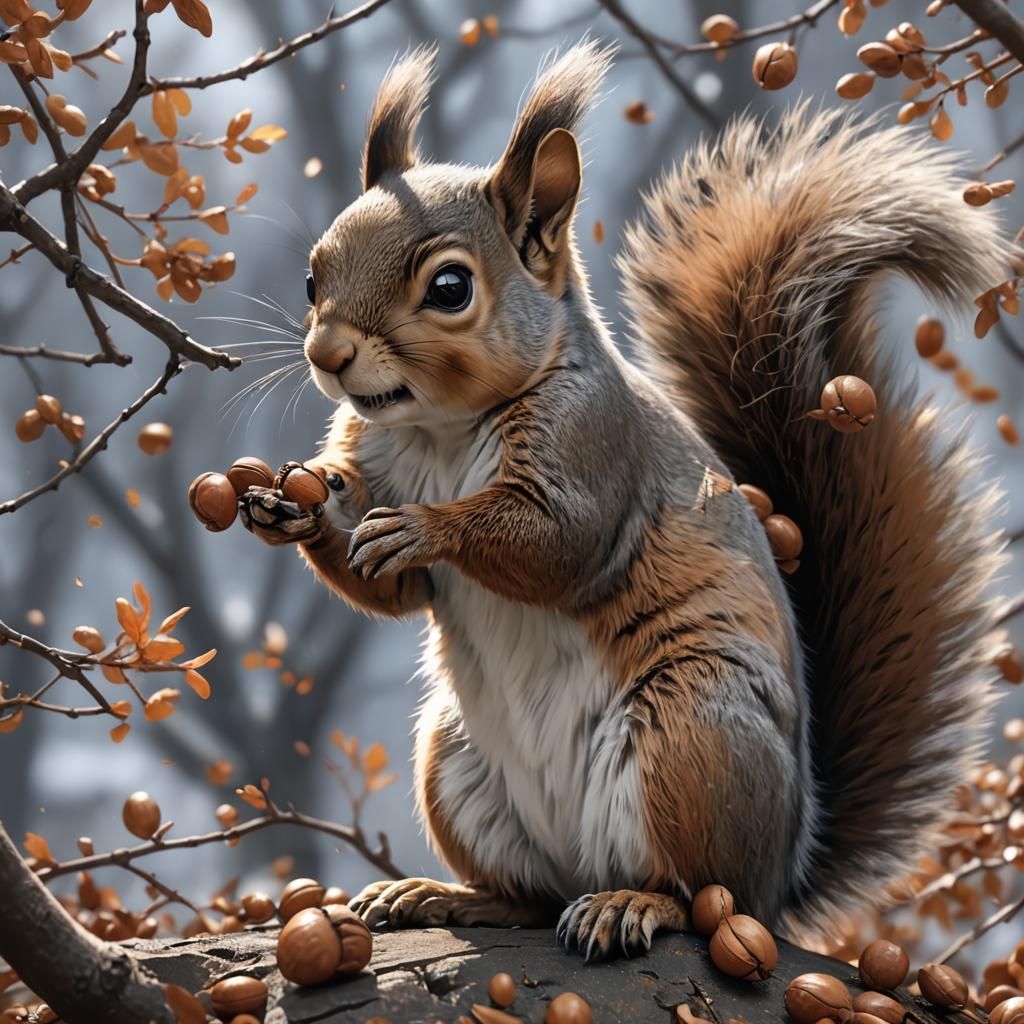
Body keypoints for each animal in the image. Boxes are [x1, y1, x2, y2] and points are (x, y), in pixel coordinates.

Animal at [238, 41, 1011, 959]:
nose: (327, 354)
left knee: (697, 889)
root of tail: (783, 877)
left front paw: (424, 529)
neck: (440, 432)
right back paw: (445, 896)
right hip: (455, 762)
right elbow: (392, 594)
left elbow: (555, 544)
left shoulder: (594, 445)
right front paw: (291, 511)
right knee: (531, 897)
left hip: (691, 738)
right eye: (313, 274)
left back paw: (633, 906)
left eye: (451, 288)